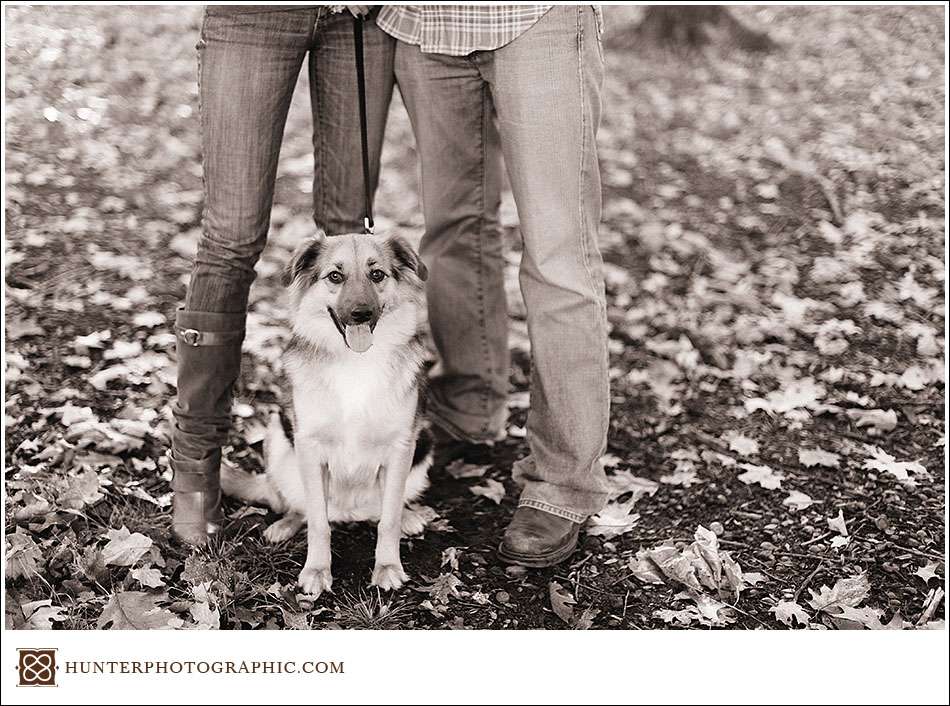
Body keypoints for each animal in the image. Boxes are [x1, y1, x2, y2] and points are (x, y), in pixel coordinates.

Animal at [223, 230, 432, 592]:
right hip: (278, 439)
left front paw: (388, 565)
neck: (357, 362)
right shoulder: (309, 446)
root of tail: (349, 511)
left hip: (423, 446)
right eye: (335, 276)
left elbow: (388, 519)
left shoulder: (400, 447)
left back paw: (408, 516)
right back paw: (285, 523)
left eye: (377, 274)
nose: (361, 314)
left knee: (385, 508)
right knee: (299, 506)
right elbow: (319, 523)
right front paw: (317, 570)